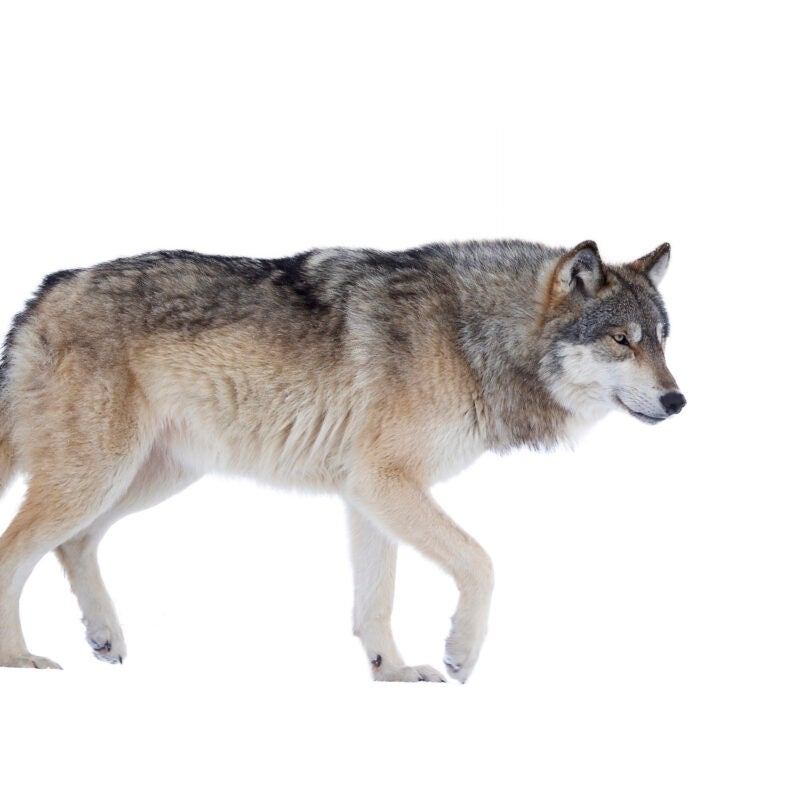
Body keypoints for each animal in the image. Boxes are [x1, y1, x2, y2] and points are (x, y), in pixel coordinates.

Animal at [0, 240, 685, 680]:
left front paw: (393, 672)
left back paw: (103, 636)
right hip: (98, 475)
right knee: (17, 550)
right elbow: (481, 563)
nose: (677, 400)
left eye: (661, 340)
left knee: (74, 544)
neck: (471, 337)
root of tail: (46, 289)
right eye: (621, 340)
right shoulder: (385, 483)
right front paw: (460, 654)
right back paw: (19, 661)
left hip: (151, 477)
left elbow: (374, 600)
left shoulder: (366, 493)